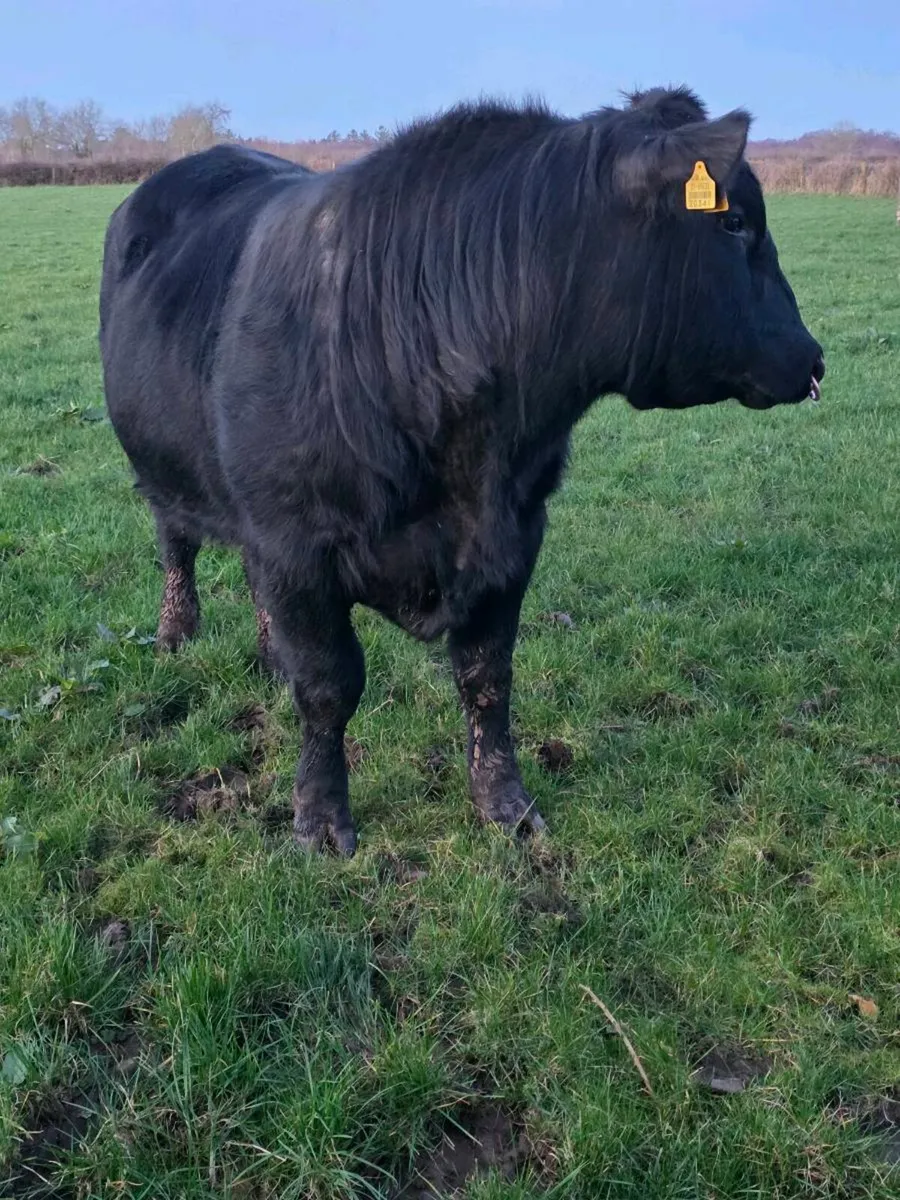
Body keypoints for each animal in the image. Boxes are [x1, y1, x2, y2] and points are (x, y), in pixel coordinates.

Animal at [99, 85, 825, 855]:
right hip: (164, 470)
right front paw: (321, 820)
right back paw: (177, 633)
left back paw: (269, 656)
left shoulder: (513, 539)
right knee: (177, 544)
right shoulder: (295, 544)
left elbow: (486, 678)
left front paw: (504, 803)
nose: (814, 359)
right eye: (736, 223)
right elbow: (328, 686)